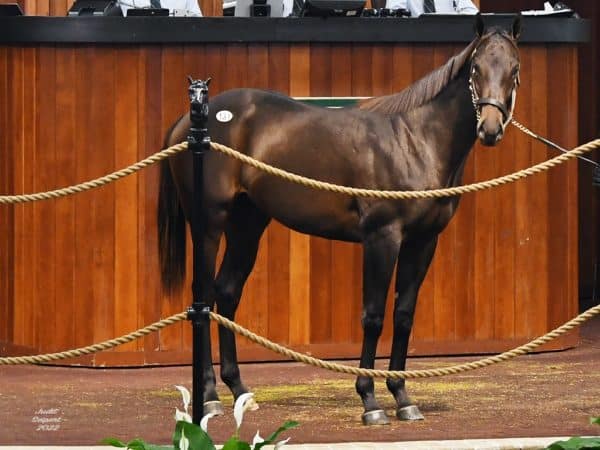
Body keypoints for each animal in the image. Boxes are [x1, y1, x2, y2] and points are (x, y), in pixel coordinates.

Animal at [158, 14, 520, 426]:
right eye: (476, 68)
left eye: (514, 69)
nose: (490, 128)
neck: (414, 141)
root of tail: (191, 121)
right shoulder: (382, 238)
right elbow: (373, 316)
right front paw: (370, 400)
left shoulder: (423, 241)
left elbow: (404, 315)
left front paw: (403, 397)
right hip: (209, 223)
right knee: (202, 297)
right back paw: (210, 397)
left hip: (247, 224)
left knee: (227, 292)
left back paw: (239, 391)